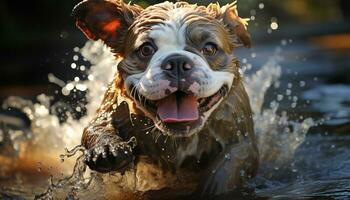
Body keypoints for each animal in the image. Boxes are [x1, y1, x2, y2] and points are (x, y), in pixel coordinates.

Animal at [72, 0, 258, 197]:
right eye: (146, 49)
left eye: (209, 48)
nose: (177, 62)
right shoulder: (112, 109)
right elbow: (96, 128)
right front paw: (107, 149)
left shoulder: (241, 133)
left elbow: (233, 159)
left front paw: (214, 185)